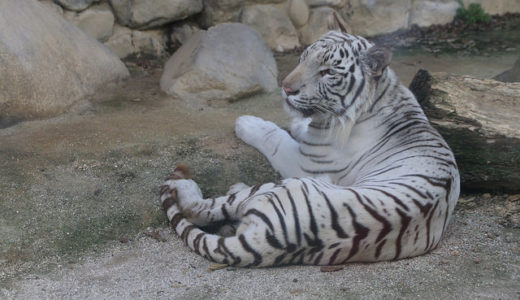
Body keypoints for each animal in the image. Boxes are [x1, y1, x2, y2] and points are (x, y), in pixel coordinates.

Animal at [158, 28, 460, 268]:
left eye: (327, 72)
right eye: (303, 59)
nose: (286, 88)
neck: (382, 93)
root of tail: (273, 241)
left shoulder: (306, 162)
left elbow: (275, 137)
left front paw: (247, 122)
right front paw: (298, 123)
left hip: (284, 185)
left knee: (199, 207)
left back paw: (190, 187)